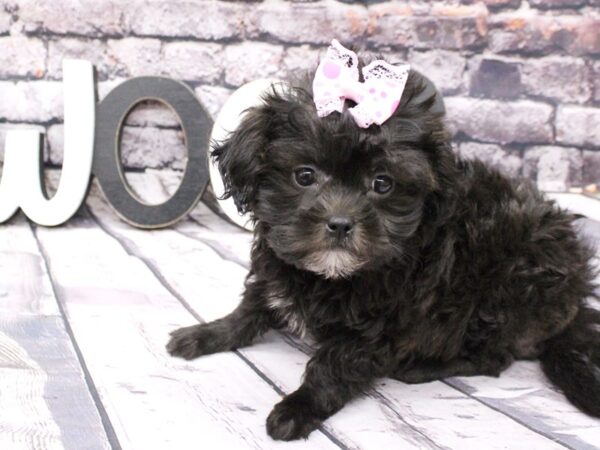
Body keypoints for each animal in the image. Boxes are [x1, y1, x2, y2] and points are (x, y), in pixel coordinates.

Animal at [166, 64, 600, 440]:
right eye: (304, 175)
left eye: (382, 183)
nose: (341, 223)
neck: (330, 276)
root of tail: (576, 295)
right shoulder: (276, 268)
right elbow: (251, 307)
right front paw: (205, 334)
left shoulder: (380, 322)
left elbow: (334, 365)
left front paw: (297, 409)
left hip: (506, 291)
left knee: (495, 358)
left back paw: (421, 367)